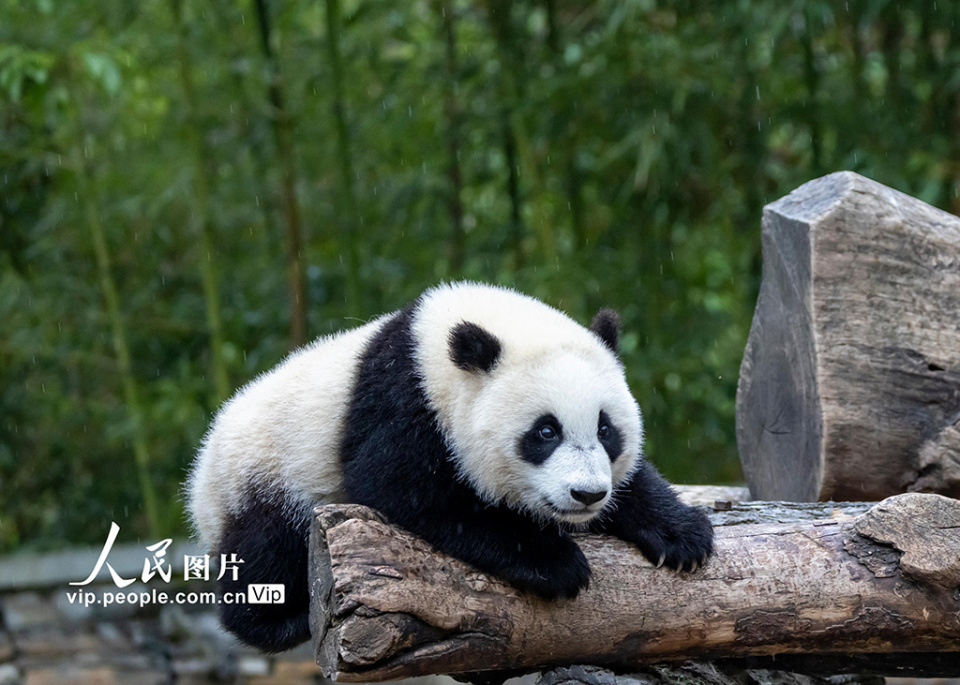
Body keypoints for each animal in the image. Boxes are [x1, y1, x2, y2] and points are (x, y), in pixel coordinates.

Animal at [188, 282, 712, 652]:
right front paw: (554, 561)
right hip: (263, 479)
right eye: (545, 432)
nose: (587, 495)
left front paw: (682, 535)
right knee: (264, 554)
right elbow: (404, 489)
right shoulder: (401, 401)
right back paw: (286, 621)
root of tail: (199, 475)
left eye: (606, 429)